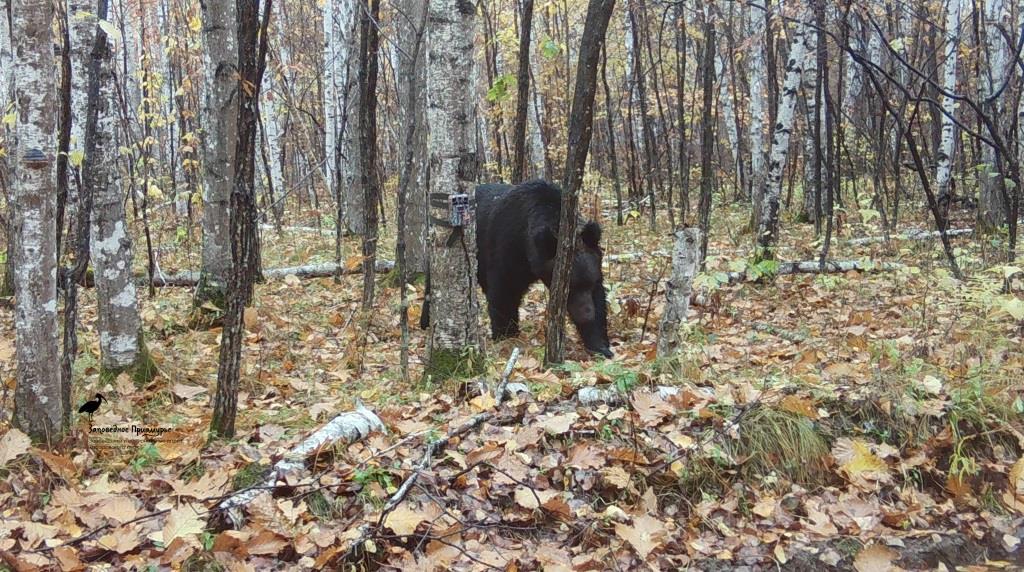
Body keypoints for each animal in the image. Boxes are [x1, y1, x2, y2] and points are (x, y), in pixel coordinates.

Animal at [475, 180, 610, 358]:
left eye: (590, 284)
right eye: (570, 288)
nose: (587, 315)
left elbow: (600, 299)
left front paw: (599, 344)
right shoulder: (507, 248)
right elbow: (504, 292)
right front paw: (506, 336)